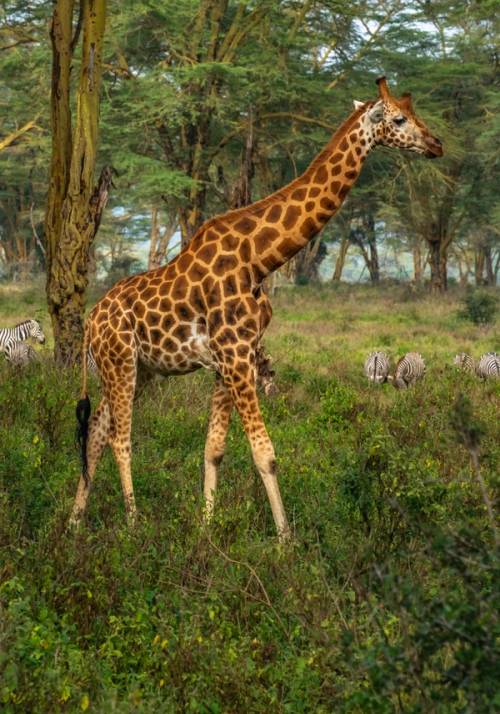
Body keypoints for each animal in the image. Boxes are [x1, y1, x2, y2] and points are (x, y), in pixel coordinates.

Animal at [70, 77, 443, 540]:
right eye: (399, 119)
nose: (436, 144)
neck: (259, 259)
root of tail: (90, 320)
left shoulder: (232, 358)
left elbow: (213, 449)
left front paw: (207, 529)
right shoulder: (234, 354)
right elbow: (265, 454)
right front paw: (285, 540)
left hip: (139, 368)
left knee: (96, 431)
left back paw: (74, 520)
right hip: (120, 362)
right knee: (121, 438)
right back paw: (133, 523)